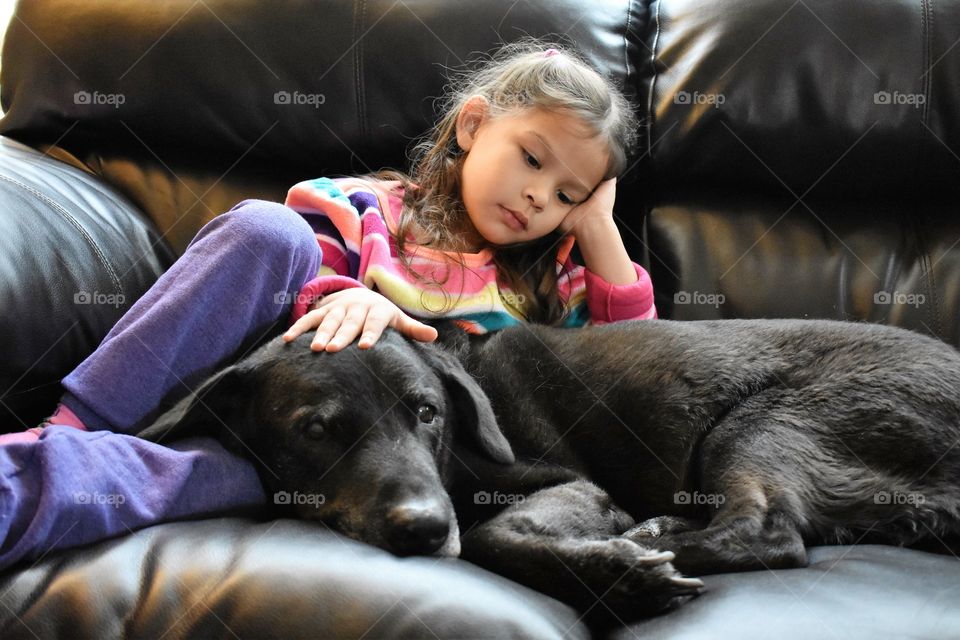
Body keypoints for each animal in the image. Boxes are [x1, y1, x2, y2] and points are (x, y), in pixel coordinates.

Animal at [139, 322, 960, 624]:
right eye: (315, 431)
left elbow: (493, 533)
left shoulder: (565, 482)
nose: (426, 530)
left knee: (772, 534)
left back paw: (651, 542)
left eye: (426, 412)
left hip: (764, 420)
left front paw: (618, 573)